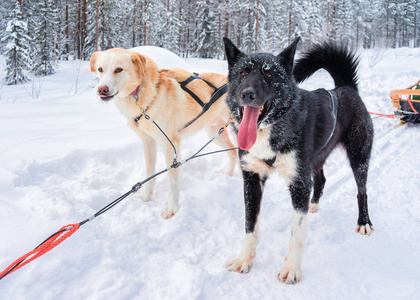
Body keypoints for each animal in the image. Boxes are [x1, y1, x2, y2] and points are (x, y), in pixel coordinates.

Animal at [223, 37, 374, 284]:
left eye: (269, 74)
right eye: (242, 72)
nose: (247, 94)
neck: (271, 131)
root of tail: (346, 88)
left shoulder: (299, 184)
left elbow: (297, 233)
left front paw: (291, 269)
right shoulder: (252, 179)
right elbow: (249, 225)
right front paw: (245, 259)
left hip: (358, 156)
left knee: (362, 190)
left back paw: (364, 222)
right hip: (315, 159)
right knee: (321, 180)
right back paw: (314, 205)